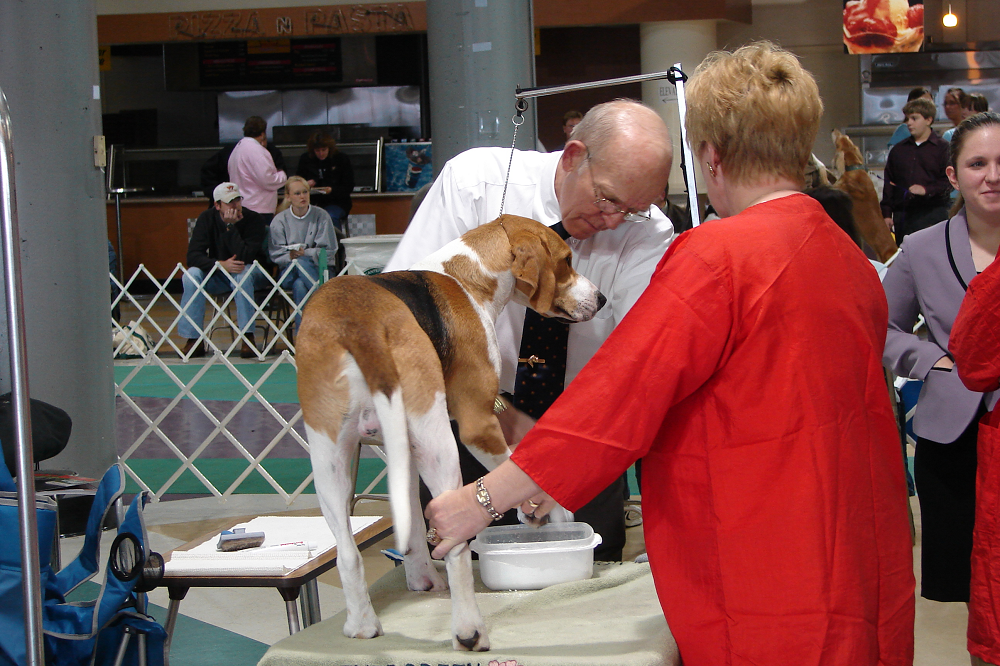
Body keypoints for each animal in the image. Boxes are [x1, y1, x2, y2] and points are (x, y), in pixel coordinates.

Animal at [292, 214, 604, 648]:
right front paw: (549, 514)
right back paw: (469, 631)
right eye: (566, 260)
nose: (602, 299)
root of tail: (358, 322)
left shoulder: (402, 454)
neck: (469, 277)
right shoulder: (477, 424)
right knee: (457, 545)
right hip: (439, 445)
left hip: (330, 459)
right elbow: (519, 473)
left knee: (348, 553)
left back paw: (363, 625)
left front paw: (419, 577)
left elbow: (411, 527)